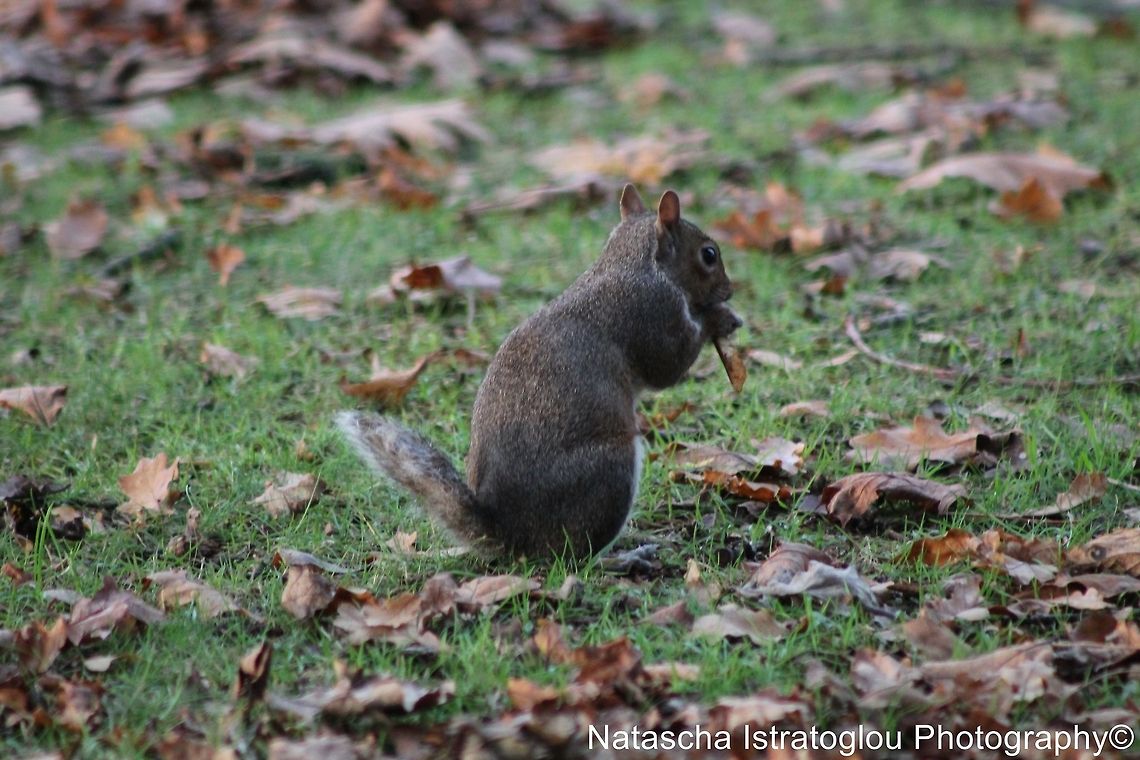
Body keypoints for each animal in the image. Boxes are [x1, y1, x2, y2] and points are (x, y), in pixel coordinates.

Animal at [337, 184, 742, 560]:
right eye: (708, 254)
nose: (729, 290)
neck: (633, 262)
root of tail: (513, 537)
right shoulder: (653, 312)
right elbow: (668, 365)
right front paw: (720, 319)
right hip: (610, 469)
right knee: (573, 555)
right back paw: (625, 555)